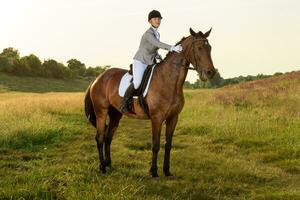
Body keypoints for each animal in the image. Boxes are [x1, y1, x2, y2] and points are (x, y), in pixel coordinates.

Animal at [84, 27, 216, 177]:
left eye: (210, 48)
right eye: (199, 48)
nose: (210, 72)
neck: (169, 81)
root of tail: (97, 78)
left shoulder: (173, 118)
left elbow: (168, 144)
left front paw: (167, 171)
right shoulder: (156, 118)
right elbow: (155, 145)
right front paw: (153, 172)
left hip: (115, 114)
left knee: (108, 137)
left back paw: (109, 164)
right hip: (101, 112)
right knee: (100, 138)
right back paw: (102, 168)